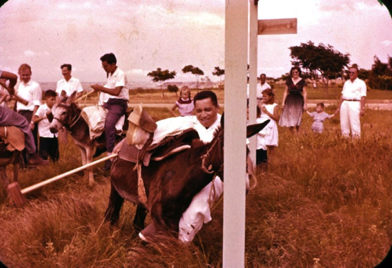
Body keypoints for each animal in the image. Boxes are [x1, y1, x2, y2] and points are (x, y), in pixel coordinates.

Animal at [104, 117, 270, 241]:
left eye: (247, 151)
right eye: (226, 148)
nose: (245, 187)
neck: (184, 173)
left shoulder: (173, 216)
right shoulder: (161, 216)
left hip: (141, 198)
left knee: (137, 222)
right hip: (116, 191)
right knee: (111, 215)